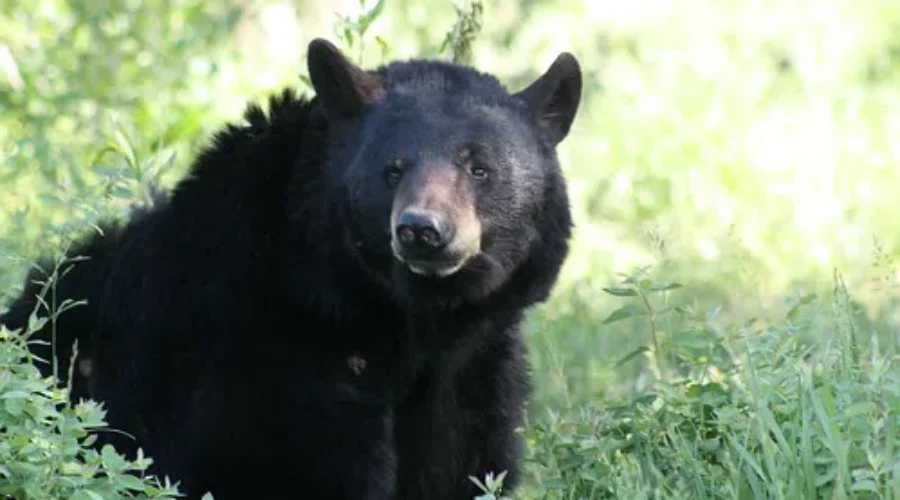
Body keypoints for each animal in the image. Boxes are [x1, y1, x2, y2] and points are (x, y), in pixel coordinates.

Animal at [0, 38, 582, 499]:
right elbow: (289, 466)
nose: (423, 230)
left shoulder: (469, 376)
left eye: (479, 168)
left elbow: (462, 468)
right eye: (392, 170)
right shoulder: (267, 357)